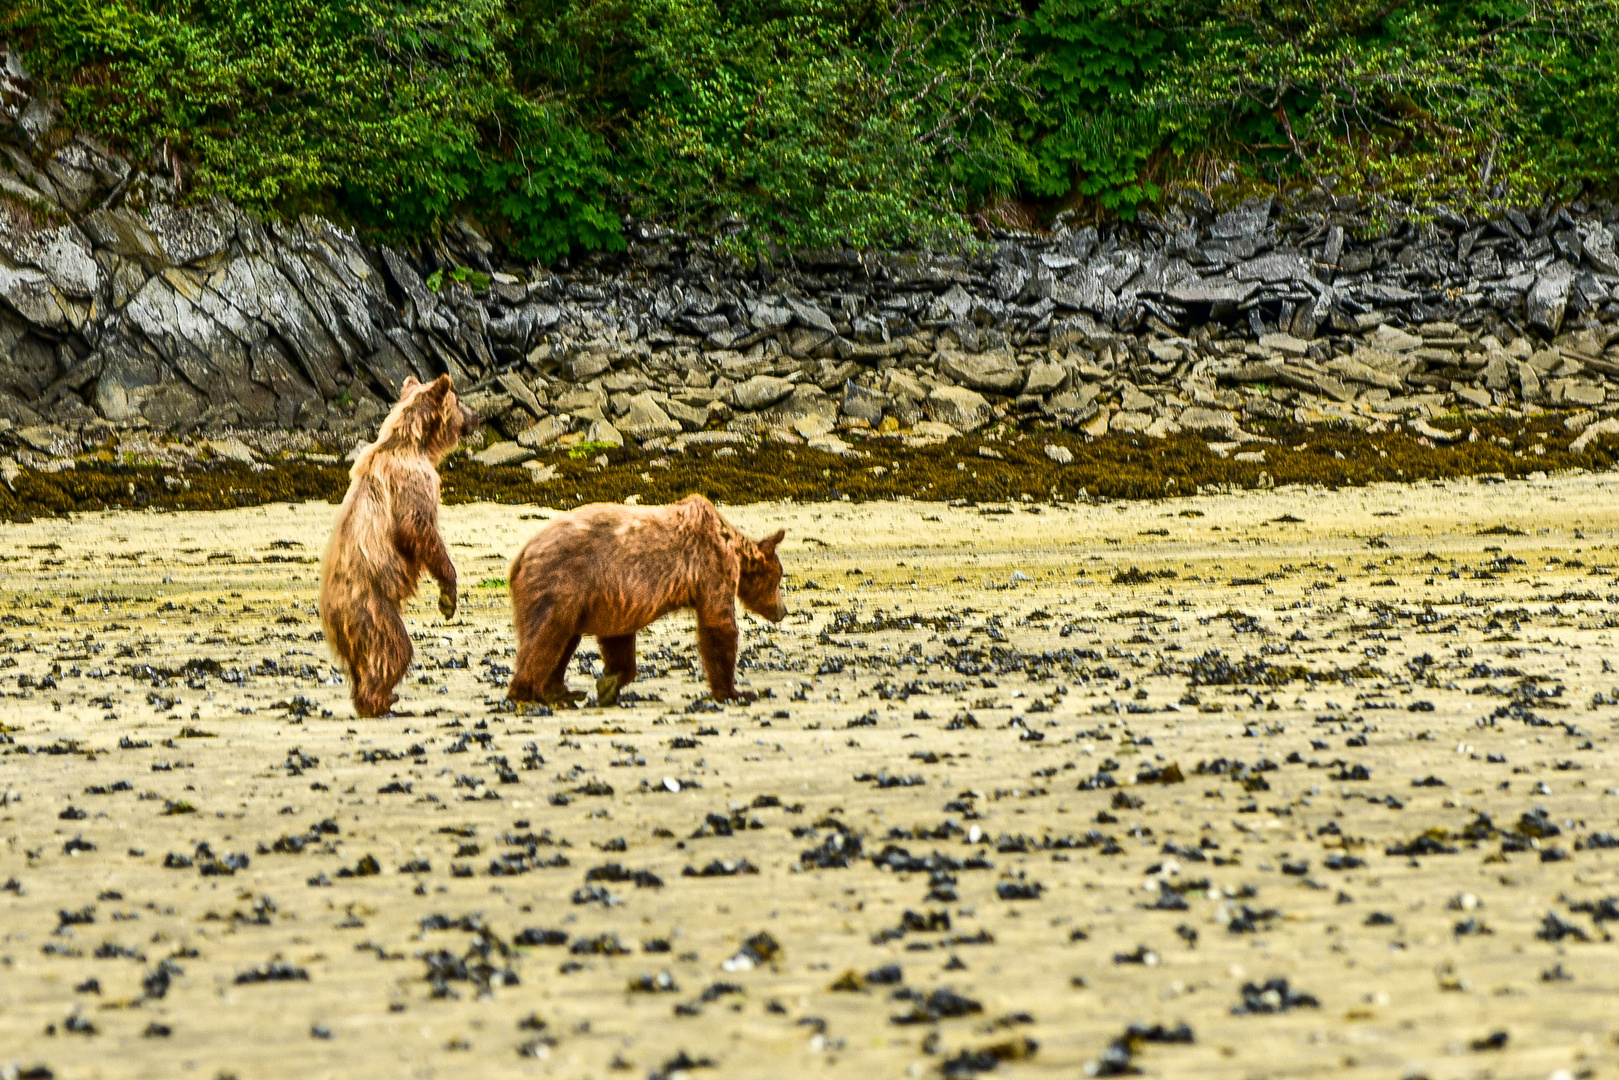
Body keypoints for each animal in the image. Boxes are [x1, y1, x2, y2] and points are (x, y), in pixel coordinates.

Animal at [318, 375, 475, 722]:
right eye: (459, 401)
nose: (477, 416)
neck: (416, 443)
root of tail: (328, 612)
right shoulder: (410, 480)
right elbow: (418, 529)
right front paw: (448, 597)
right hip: (372, 609)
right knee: (393, 649)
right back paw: (381, 700)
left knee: (359, 666)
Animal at [505, 495, 783, 709]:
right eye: (779, 578)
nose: (783, 610)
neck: (733, 545)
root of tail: (521, 555)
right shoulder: (711, 564)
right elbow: (718, 624)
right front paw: (734, 692)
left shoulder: (614, 593)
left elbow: (617, 636)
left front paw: (610, 683)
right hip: (560, 581)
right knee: (548, 635)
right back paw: (532, 693)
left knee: (563, 637)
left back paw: (561, 692)